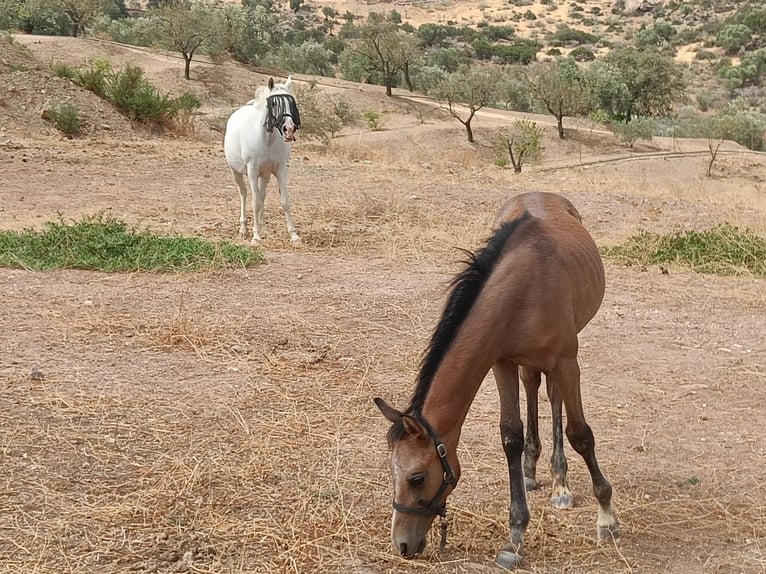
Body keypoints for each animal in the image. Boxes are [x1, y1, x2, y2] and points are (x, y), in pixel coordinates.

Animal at [224, 76, 302, 243]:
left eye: (291, 103)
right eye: (273, 103)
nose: (289, 129)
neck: (267, 139)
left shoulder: (280, 168)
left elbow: (284, 201)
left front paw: (294, 236)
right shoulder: (252, 171)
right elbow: (255, 203)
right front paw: (256, 237)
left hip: (265, 175)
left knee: (262, 195)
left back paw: (263, 228)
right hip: (236, 172)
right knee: (244, 193)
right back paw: (244, 229)